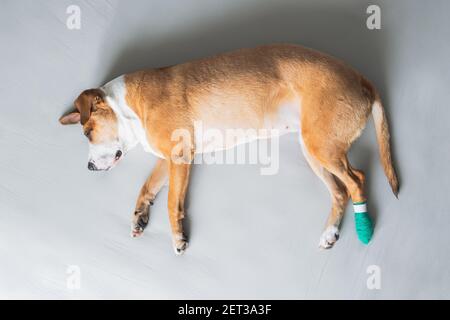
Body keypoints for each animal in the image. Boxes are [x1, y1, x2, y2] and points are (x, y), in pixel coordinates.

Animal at [59, 43, 398, 254]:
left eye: (88, 133)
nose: (89, 168)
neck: (127, 105)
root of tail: (361, 79)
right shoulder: (170, 158)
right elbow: (147, 187)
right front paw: (140, 215)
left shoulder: (179, 156)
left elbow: (171, 202)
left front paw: (178, 238)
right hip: (313, 149)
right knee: (340, 191)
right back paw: (330, 233)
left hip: (322, 147)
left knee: (357, 180)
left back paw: (364, 229)